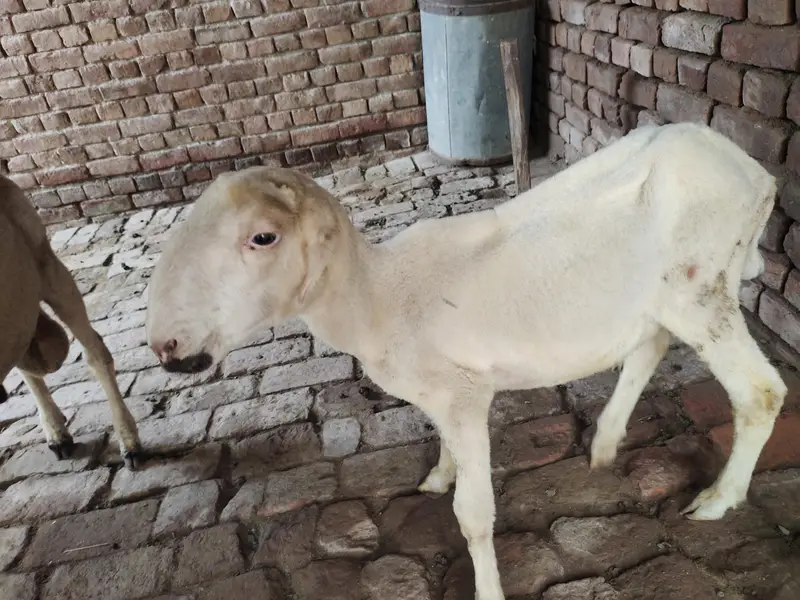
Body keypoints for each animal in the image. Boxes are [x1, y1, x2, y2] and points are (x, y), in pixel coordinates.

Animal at [145, 122, 785, 600]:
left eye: (264, 238)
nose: (166, 347)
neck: (376, 300)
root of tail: (755, 173)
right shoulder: (442, 395)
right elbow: (443, 447)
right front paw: (438, 475)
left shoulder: (465, 394)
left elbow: (473, 514)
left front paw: (486, 587)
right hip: (657, 296)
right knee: (649, 345)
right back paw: (605, 444)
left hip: (700, 286)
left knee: (761, 392)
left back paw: (717, 500)